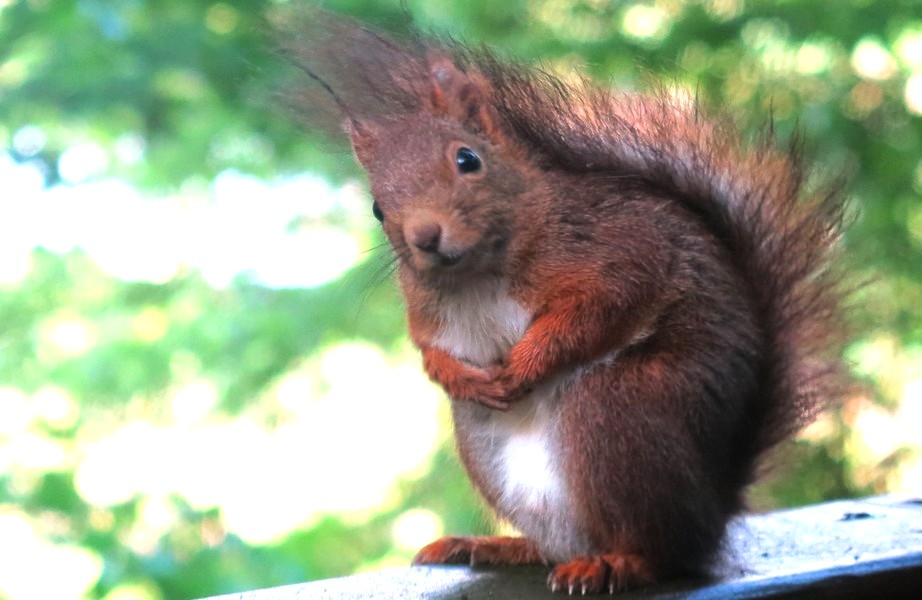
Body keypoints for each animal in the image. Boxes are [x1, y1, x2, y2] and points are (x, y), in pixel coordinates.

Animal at [280, 10, 848, 596]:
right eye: (376, 207)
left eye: (468, 159)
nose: (425, 237)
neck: (478, 273)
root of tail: (715, 509)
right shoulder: (427, 315)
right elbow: (430, 354)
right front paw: (464, 378)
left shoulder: (621, 253)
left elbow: (596, 311)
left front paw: (525, 365)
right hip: (485, 444)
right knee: (562, 541)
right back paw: (500, 546)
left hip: (618, 413)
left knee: (665, 550)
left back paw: (619, 563)